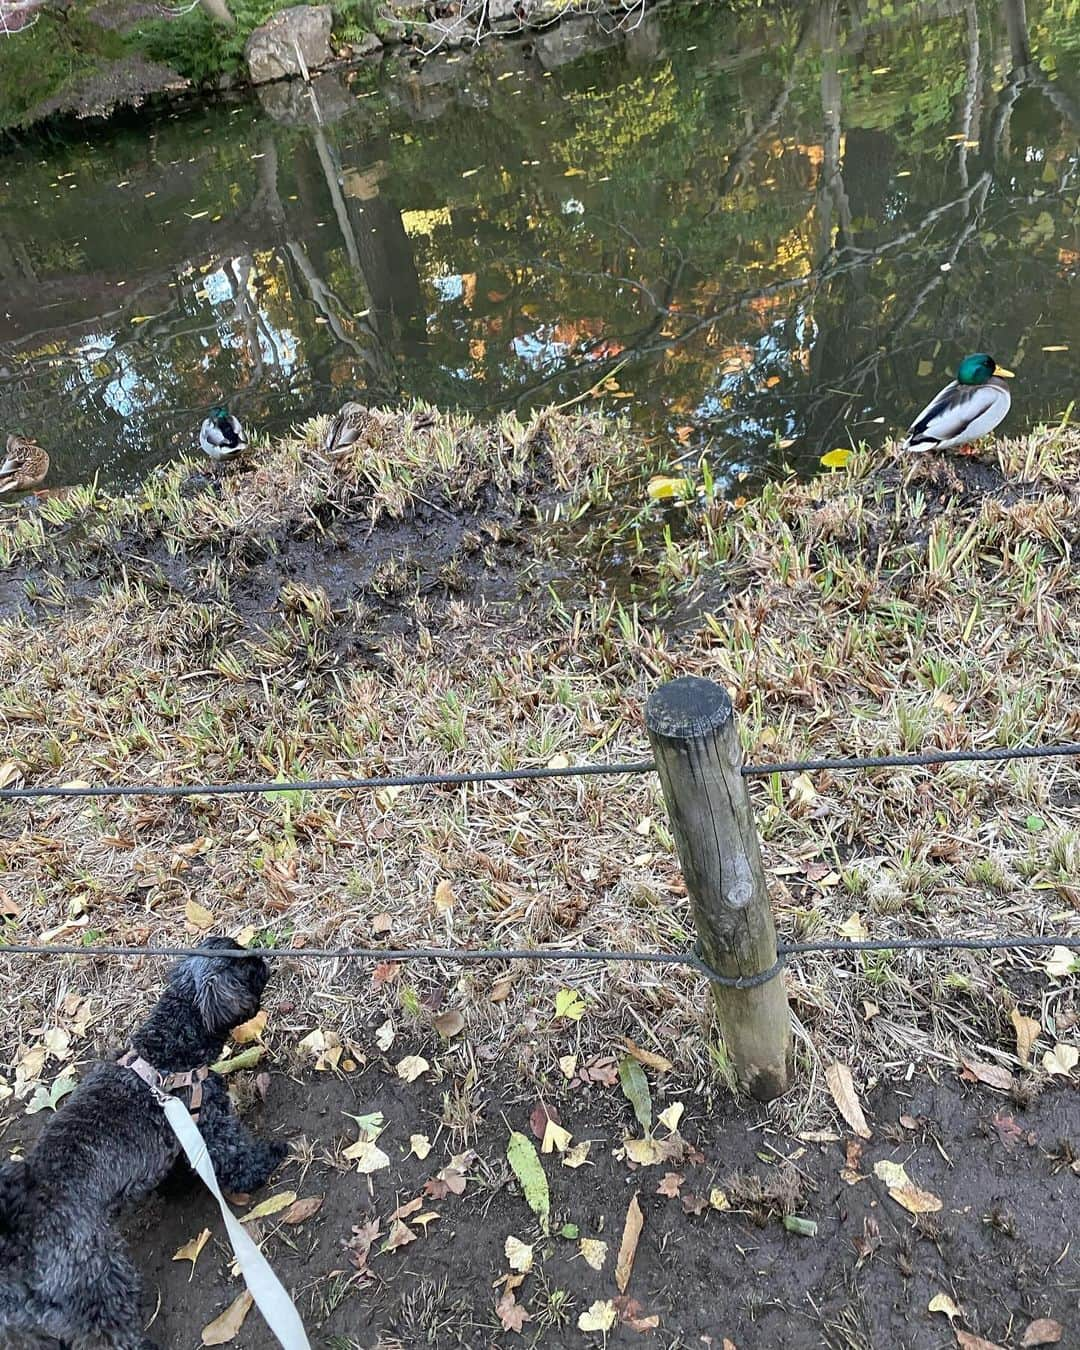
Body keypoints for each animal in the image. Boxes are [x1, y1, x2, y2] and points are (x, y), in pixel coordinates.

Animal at [0, 939, 286, 1350]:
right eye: (243, 964)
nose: (263, 958)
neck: (166, 1048)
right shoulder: (210, 1121)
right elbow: (238, 1156)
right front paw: (270, 1158)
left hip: (28, 1328)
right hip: (100, 1281)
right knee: (110, 1330)